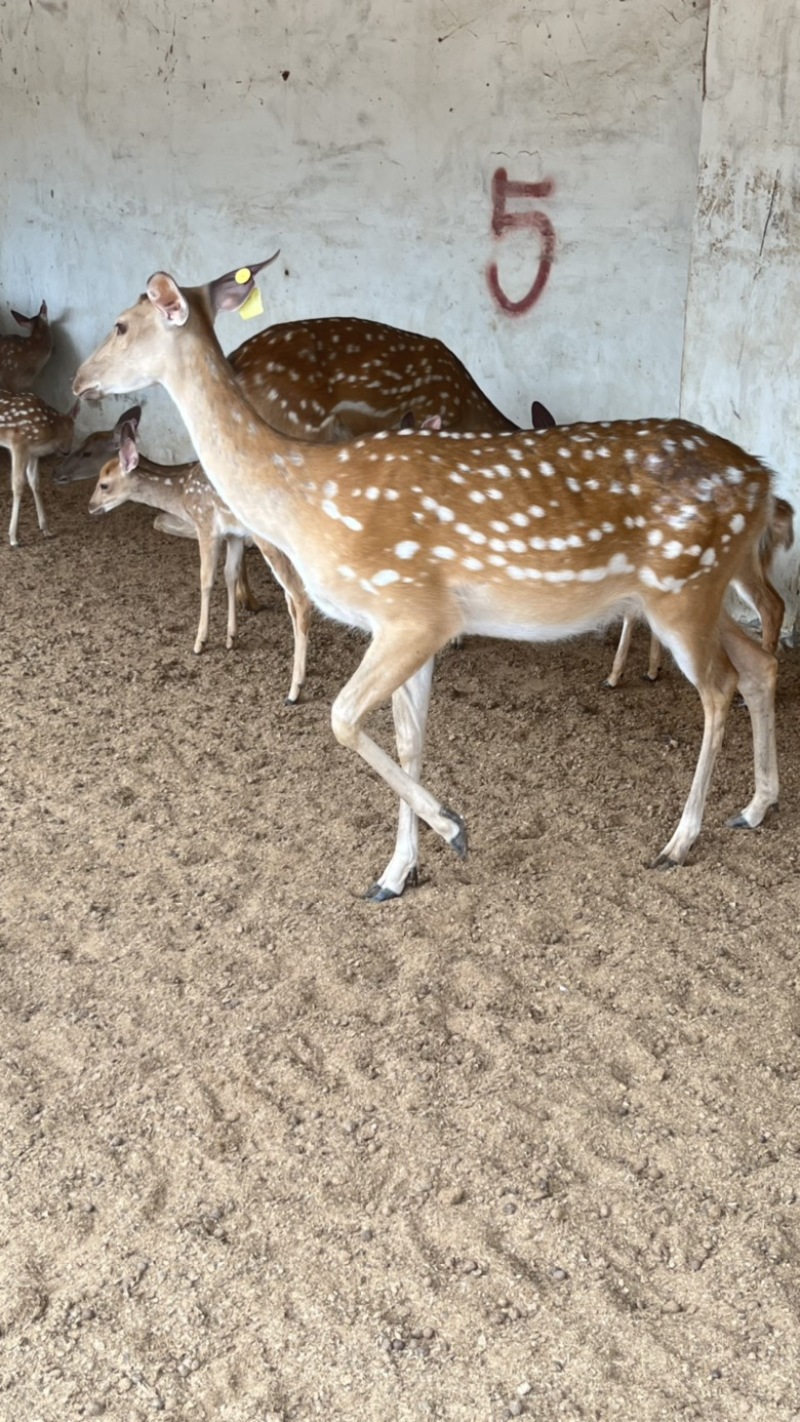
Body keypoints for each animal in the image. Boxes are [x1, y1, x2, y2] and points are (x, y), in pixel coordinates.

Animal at [0, 390, 78, 546]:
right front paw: (13, 538)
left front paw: (46, 529)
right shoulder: (19, 443)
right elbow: (18, 485)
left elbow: (35, 482)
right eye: (73, 430)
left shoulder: (33, 453)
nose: (66, 451)